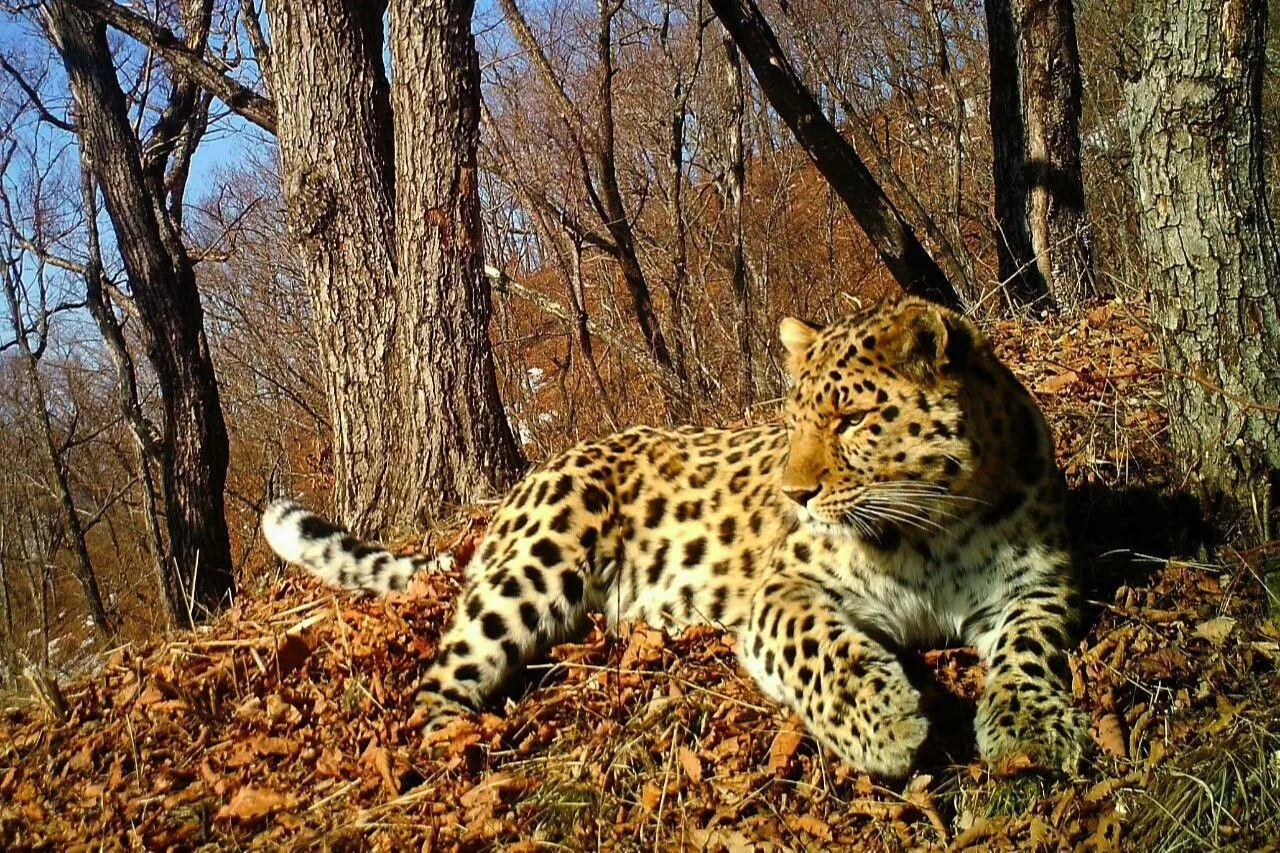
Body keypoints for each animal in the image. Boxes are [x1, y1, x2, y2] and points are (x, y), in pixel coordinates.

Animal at [264, 297, 1085, 778]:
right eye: (795, 419)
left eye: (851, 420)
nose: (794, 494)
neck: (936, 526)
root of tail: (525, 484)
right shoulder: (785, 589)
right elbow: (821, 648)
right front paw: (887, 725)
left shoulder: (1040, 581)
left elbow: (1029, 648)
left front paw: (1030, 728)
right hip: (535, 565)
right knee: (436, 681)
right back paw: (459, 750)